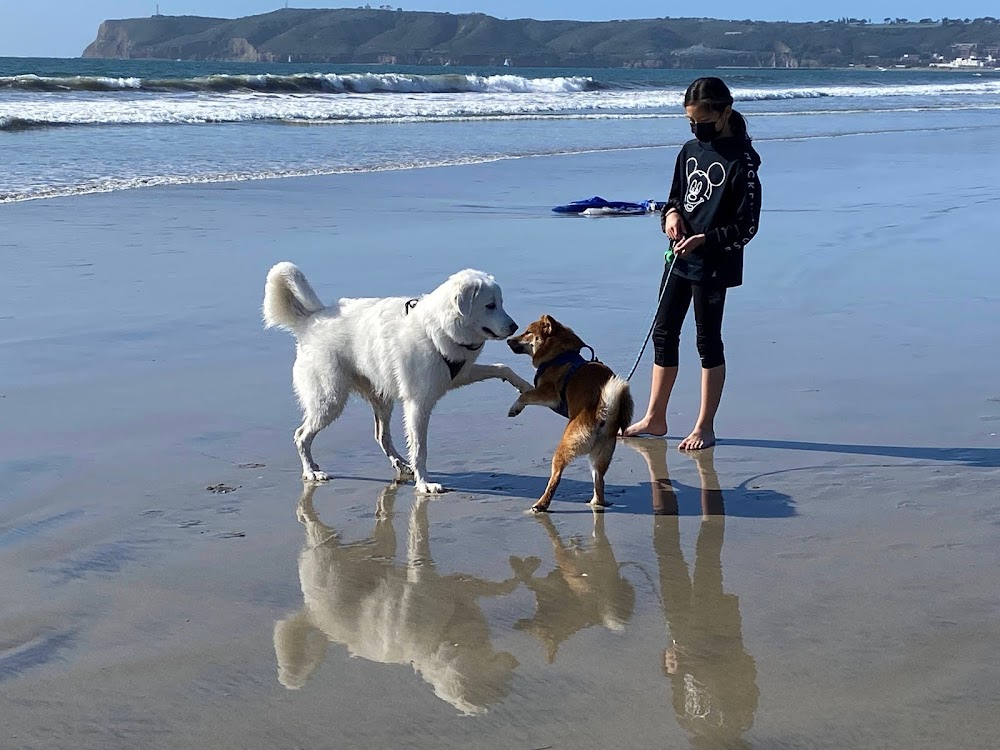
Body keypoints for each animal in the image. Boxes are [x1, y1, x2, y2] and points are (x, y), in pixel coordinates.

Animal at [264, 262, 532, 496]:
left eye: (499, 304)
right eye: (490, 305)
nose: (514, 327)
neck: (436, 329)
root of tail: (310, 321)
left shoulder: (460, 374)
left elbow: (503, 368)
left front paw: (525, 389)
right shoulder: (418, 404)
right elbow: (420, 449)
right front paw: (425, 485)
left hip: (381, 399)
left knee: (381, 436)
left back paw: (401, 465)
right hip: (329, 400)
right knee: (301, 435)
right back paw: (311, 471)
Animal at [508, 314, 632, 516]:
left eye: (528, 332)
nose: (508, 340)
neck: (559, 354)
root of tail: (602, 412)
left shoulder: (549, 394)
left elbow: (525, 395)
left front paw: (515, 408)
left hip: (565, 446)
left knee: (556, 477)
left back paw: (541, 504)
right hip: (600, 456)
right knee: (599, 482)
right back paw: (595, 504)